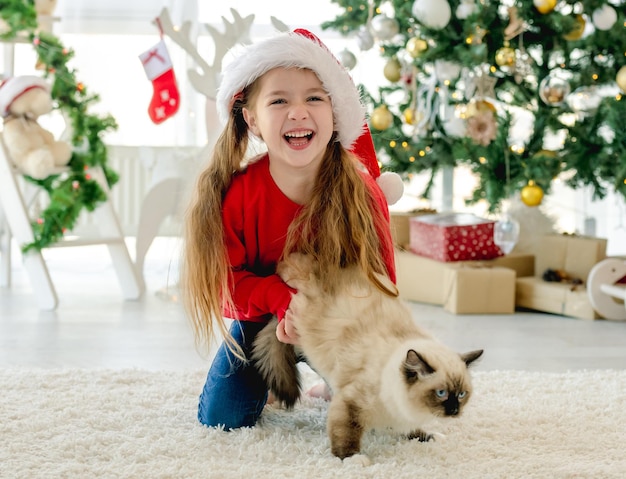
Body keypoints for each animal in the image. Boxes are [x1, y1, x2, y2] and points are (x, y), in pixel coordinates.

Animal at [250, 255, 482, 462]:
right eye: (441, 393)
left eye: (462, 394)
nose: (454, 410)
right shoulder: (350, 404)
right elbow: (346, 436)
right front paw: (353, 460)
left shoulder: (401, 414)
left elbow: (412, 429)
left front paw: (428, 437)